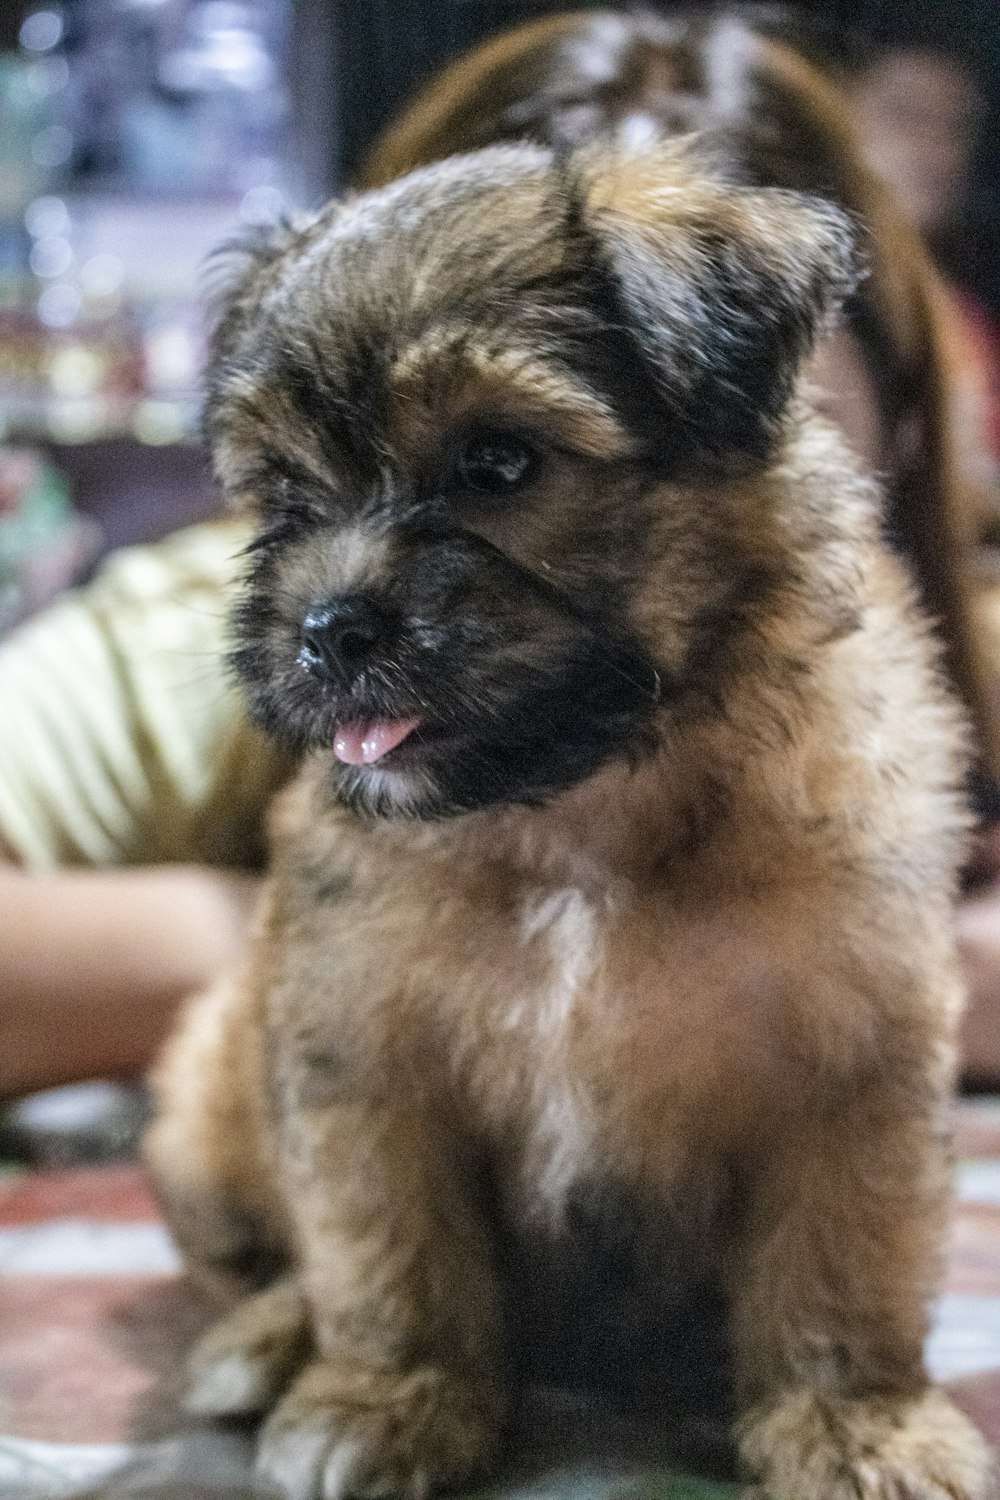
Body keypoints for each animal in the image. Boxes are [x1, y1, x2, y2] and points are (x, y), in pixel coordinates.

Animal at [144, 143, 995, 1500]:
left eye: (498, 463)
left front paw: (857, 1428)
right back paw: (268, 1338)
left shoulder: (852, 1059)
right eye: (281, 493)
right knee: (258, 1258)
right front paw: (390, 1399)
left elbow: (842, 1261)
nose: (328, 630)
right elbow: (383, 1251)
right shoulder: (363, 1054)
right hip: (208, 1090)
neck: (583, 810)